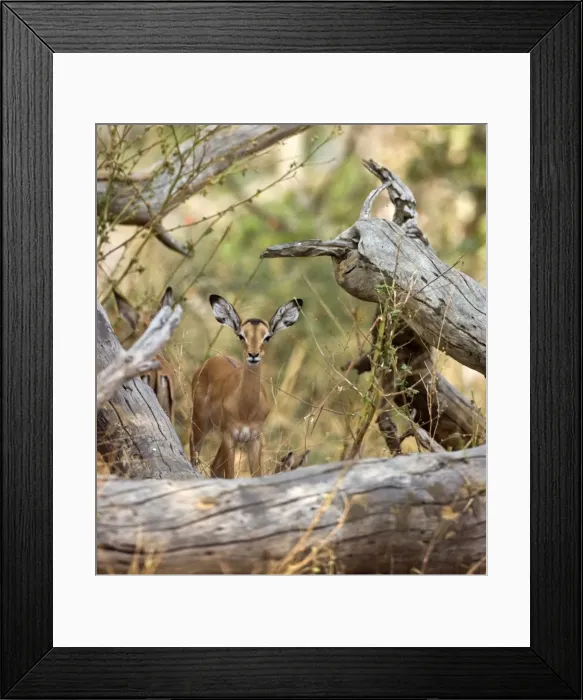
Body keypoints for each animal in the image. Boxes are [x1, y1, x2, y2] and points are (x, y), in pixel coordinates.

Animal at [190, 294, 303, 478]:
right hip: (200, 423)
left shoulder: (254, 439)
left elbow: (257, 475)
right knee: (193, 457)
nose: (253, 355)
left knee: (213, 467)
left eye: (267, 337)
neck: (246, 410)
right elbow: (230, 475)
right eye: (241, 336)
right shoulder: (229, 436)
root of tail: (212, 360)